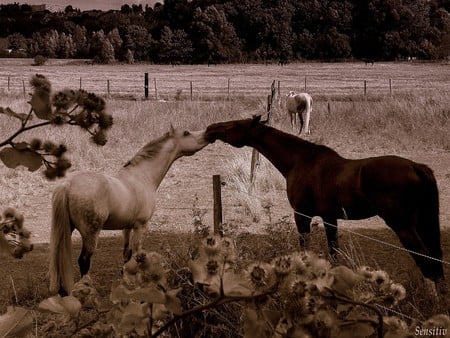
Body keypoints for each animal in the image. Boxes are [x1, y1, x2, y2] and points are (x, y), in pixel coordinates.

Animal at [48, 125, 207, 294]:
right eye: (186, 133)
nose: (208, 134)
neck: (141, 177)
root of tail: (68, 185)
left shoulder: (127, 227)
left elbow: (127, 253)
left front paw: (126, 278)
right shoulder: (140, 226)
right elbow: (138, 254)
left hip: (68, 229)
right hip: (91, 234)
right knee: (84, 260)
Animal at [206, 115, 444, 290]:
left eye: (236, 124)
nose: (211, 128)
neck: (300, 161)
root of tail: (416, 167)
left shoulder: (302, 215)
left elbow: (304, 249)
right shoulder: (330, 218)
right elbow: (333, 252)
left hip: (402, 225)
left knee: (426, 259)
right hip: (423, 222)